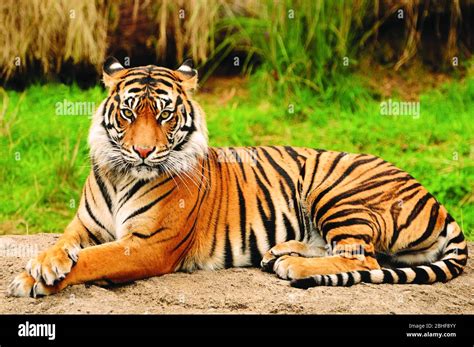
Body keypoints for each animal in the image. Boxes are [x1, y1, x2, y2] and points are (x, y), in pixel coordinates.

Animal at [7, 58, 466, 298]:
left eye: (165, 115)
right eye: (127, 113)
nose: (143, 152)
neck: (122, 175)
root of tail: (436, 200)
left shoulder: (149, 245)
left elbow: (94, 258)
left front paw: (30, 279)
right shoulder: (84, 225)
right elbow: (63, 244)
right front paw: (43, 264)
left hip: (337, 190)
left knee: (363, 257)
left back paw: (293, 266)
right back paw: (281, 252)